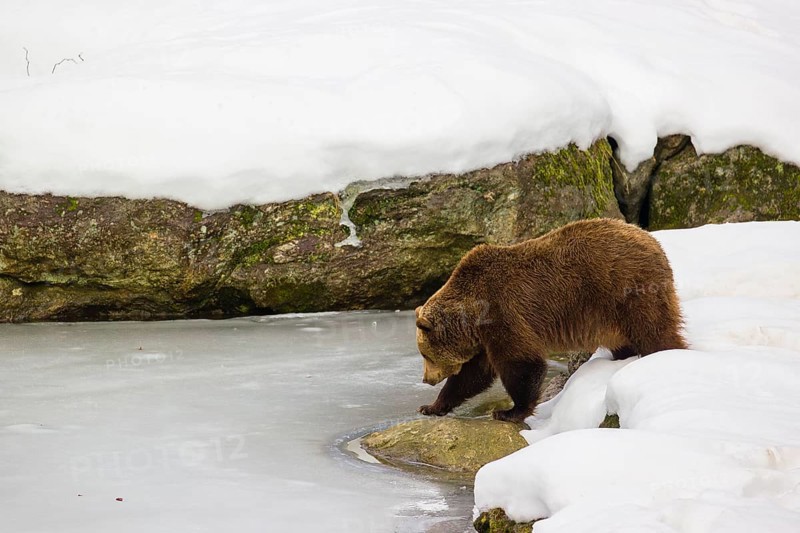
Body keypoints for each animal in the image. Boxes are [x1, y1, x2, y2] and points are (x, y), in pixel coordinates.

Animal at [415, 217, 687, 423]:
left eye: (426, 354)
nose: (426, 379)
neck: (472, 314)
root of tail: (653, 241)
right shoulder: (484, 337)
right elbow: (472, 375)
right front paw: (431, 406)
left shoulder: (503, 315)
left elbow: (522, 363)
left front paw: (508, 411)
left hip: (627, 289)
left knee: (654, 331)